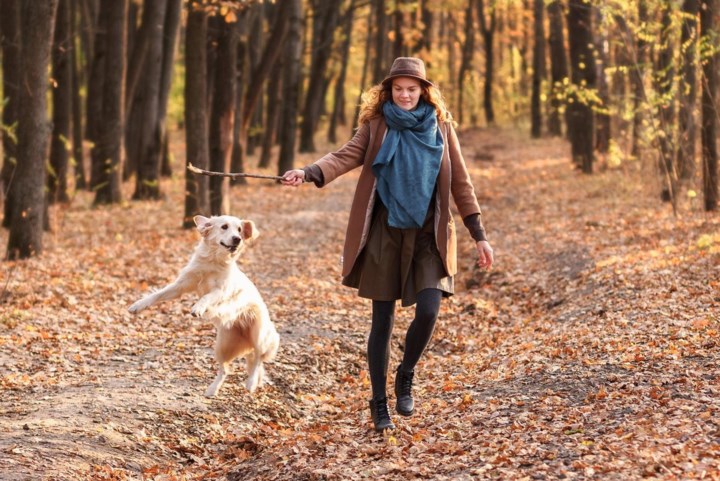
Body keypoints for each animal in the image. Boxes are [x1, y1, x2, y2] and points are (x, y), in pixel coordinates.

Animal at [129, 216, 278, 396]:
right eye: (224, 227)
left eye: (240, 230)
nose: (237, 239)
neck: (212, 261)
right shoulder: (180, 286)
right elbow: (158, 294)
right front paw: (138, 305)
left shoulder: (221, 291)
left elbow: (207, 297)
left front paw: (198, 308)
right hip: (222, 347)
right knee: (226, 369)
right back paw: (212, 390)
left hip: (259, 335)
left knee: (258, 360)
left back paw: (251, 383)